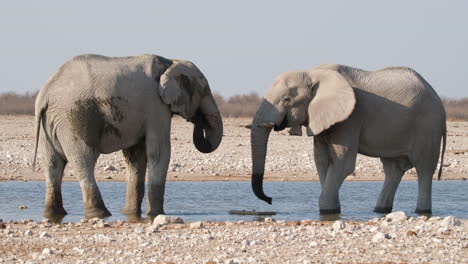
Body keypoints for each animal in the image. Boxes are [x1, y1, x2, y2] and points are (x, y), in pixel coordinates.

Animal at [33, 53, 223, 219]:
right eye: (204, 90)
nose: (198, 119)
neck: (170, 62)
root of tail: (45, 93)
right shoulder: (156, 105)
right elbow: (159, 152)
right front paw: (155, 214)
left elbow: (136, 157)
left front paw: (130, 214)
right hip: (74, 117)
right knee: (84, 160)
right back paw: (100, 213)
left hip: (49, 123)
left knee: (52, 164)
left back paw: (53, 214)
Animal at [250, 63, 448, 214]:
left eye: (286, 100)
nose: (270, 199)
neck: (313, 73)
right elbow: (321, 161)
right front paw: (334, 210)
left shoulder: (351, 117)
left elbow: (343, 163)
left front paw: (327, 212)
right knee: (393, 169)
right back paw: (381, 210)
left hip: (428, 126)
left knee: (423, 168)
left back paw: (422, 212)